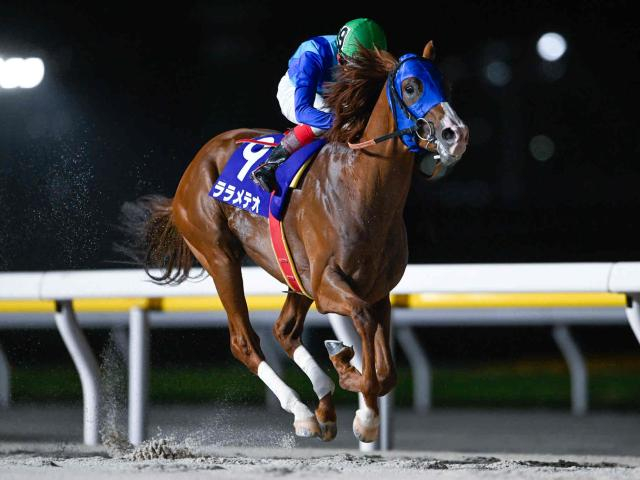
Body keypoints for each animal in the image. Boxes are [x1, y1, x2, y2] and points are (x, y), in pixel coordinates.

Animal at [120, 41, 468, 443]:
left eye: (446, 83)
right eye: (411, 87)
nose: (456, 134)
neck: (361, 188)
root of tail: (193, 167)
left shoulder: (377, 289)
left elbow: (387, 372)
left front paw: (350, 380)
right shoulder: (327, 284)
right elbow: (365, 330)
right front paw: (356, 393)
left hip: (294, 273)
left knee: (284, 330)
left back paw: (323, 408)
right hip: (219, 256)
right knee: (245, 341)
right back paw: (302, 411)